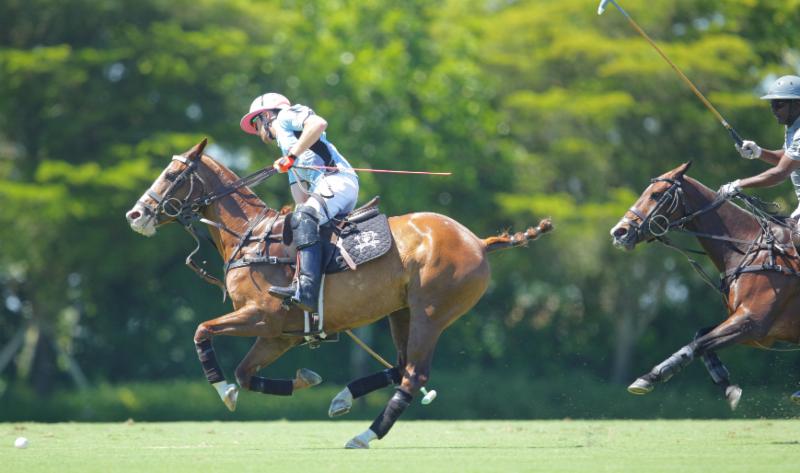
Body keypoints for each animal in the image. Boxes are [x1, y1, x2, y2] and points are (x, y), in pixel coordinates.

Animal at [125, 139, 553, 448]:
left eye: (172, 174)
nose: (135, 215)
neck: (250, 235)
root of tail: (479, 242)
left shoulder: (260, 315)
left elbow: (201, 331)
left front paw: (222, 390)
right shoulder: (278, 335)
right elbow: (246, 374)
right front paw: (305, 379)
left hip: (431, 313)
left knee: (413, 374)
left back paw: (364, 435)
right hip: (401, 310)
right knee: (401, 366)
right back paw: (343, 398)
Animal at [610, 161, 800, 410]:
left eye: (656, 194)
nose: (618, 232)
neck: (750, 248)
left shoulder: (753, 321)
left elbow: (699, 344)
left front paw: (649, 378)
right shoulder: (759, 334)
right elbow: (701, 337)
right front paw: (728, 386)